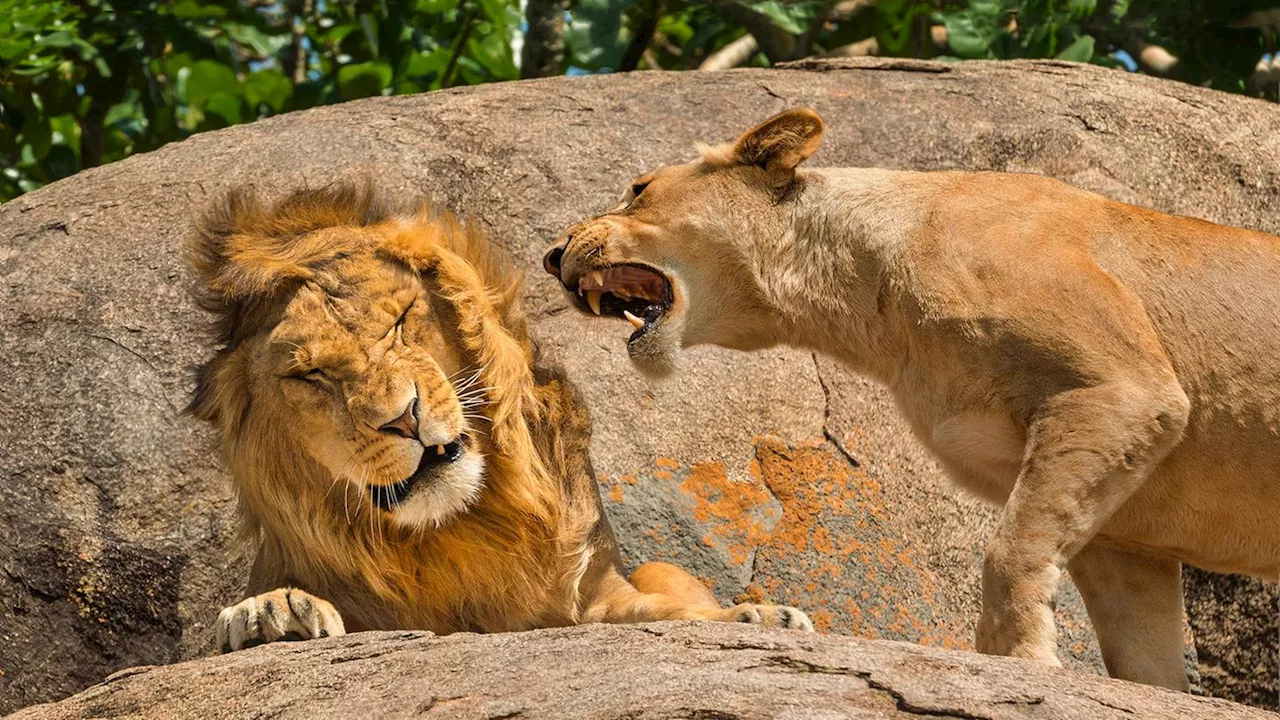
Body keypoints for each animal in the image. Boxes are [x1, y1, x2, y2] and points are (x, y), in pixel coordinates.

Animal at [186, 180, 808, 650]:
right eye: (309, 375)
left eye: (399, 321)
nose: (403, 418)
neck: (459, 528)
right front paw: (270, 613)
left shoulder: (594, 593)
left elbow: (659, 612)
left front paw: (752, 617)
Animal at [542, 107, 1280, 691]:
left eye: (638, 189)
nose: (551, 255)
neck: (866, 299)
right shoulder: (1126, 531)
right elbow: (1142, 655)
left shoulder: (1122, 390)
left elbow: (1010, 550)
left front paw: (1017, 662)